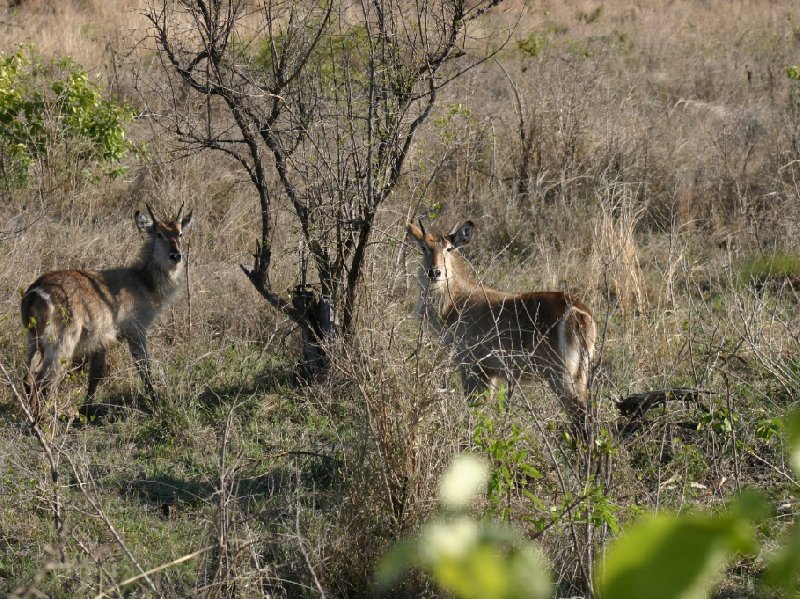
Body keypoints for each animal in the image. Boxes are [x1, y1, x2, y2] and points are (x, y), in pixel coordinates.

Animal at [21, 204, 193, 420]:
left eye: (180, 233)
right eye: (159, 234)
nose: (176, 255)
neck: (144, 282)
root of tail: (36, 292)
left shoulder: (101, 340)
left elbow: (96, 374)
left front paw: (86, 409)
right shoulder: (136, 330)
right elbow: (144, 367)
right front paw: (155, 400)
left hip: (34, 340)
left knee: (28, 377)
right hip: (62, 343)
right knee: (45, 381)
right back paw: (44, 419)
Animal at [406, 220, 592, 432]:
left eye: (449, 248)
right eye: (424, 247)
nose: (434, 272)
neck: (456, 301)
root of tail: (580, 312)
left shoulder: (473, 366)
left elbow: (475, 410)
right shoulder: (492, 373)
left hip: (561, 375)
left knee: (580, 416)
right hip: (580, 375)